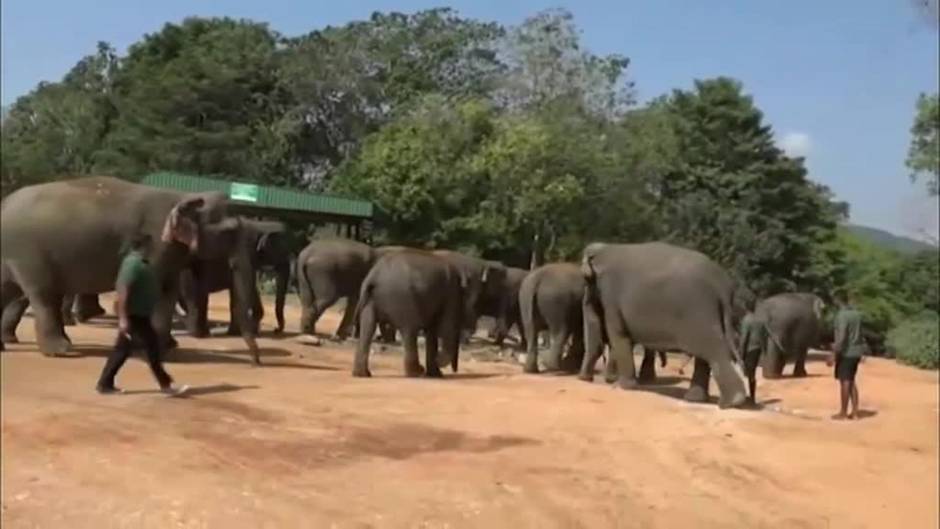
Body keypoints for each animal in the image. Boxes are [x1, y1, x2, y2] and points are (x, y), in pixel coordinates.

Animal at [0, 174, 260, 364]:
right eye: (229, 232)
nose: (257, 362)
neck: (182, 196)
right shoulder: (156, 244)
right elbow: (152, 292)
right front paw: (149, 351)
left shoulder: (169, 252)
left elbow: (167, 293)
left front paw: (164, 349)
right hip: (28, 254)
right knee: (42, 294)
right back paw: (61, 351)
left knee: (10, 290)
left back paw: (6, 345)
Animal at [350, 250, 468, 378]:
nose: (455, 370)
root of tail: (374, 276)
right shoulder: (451, 293)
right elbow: (446, 326)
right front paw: (436, 365)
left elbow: (432, 331)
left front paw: (435, 374)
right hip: (403, 298)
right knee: (409, 329)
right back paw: (417, 372)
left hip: (371, 299)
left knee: (368, 326)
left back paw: (362, 374)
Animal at [580, 241, 748, 410]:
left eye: (586, 279)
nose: (583, 378)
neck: (607, 248)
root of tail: (723, 287)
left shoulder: (611, 296)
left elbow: (618, 335)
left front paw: (624, 386)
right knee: (707, 354)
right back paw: (698, 399)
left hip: (699, 312)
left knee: (712, 350)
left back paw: (731, 402)